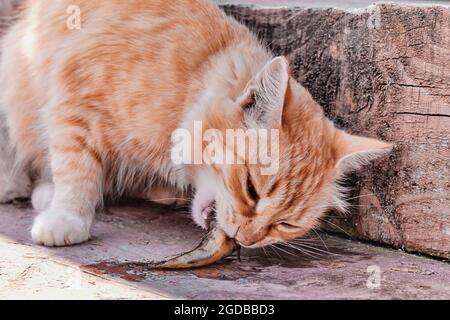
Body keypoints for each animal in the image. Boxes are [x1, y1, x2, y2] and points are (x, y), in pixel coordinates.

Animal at [0, 0, 390, 248]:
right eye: (251, 188)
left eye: (287, 224)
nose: (246, 240)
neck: (192, 80)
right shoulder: (75, 95)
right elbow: (76, 167)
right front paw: (68, 216)